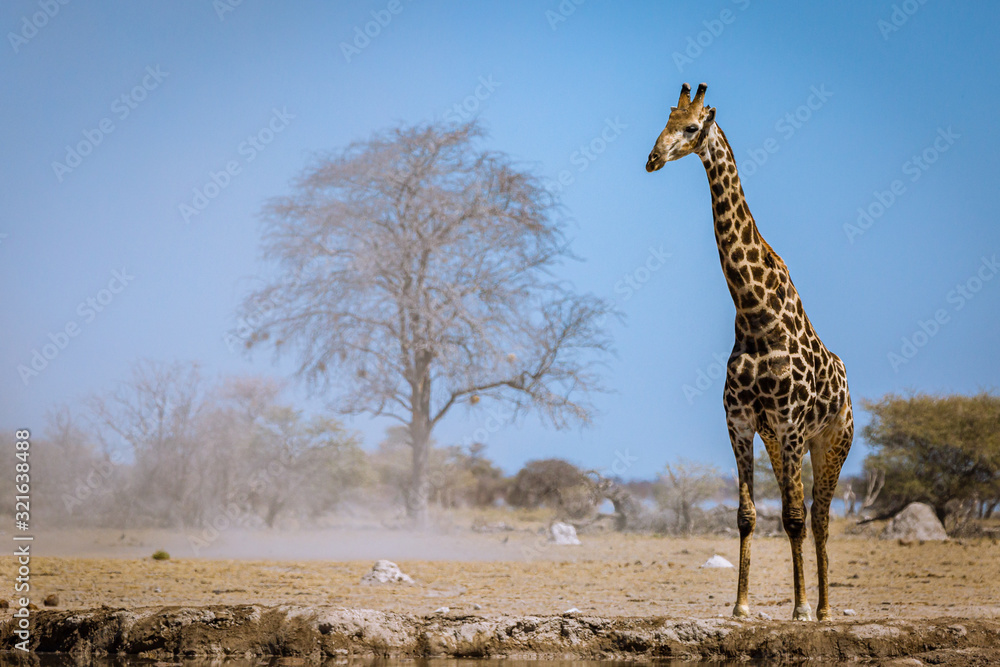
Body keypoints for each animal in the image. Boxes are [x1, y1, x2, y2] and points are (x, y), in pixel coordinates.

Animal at [645, 83, 853, 621]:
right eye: (663, 122)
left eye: (691, 128)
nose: (652, 159)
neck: (757, 316)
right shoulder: (741, 421)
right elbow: (747, 515)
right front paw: (739, 606)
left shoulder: (790, 422)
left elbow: (796, 517)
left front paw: (799, 610)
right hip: (780, 443)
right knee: (799, 511)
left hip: (831, 441)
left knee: (819, 516)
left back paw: (824, 610)